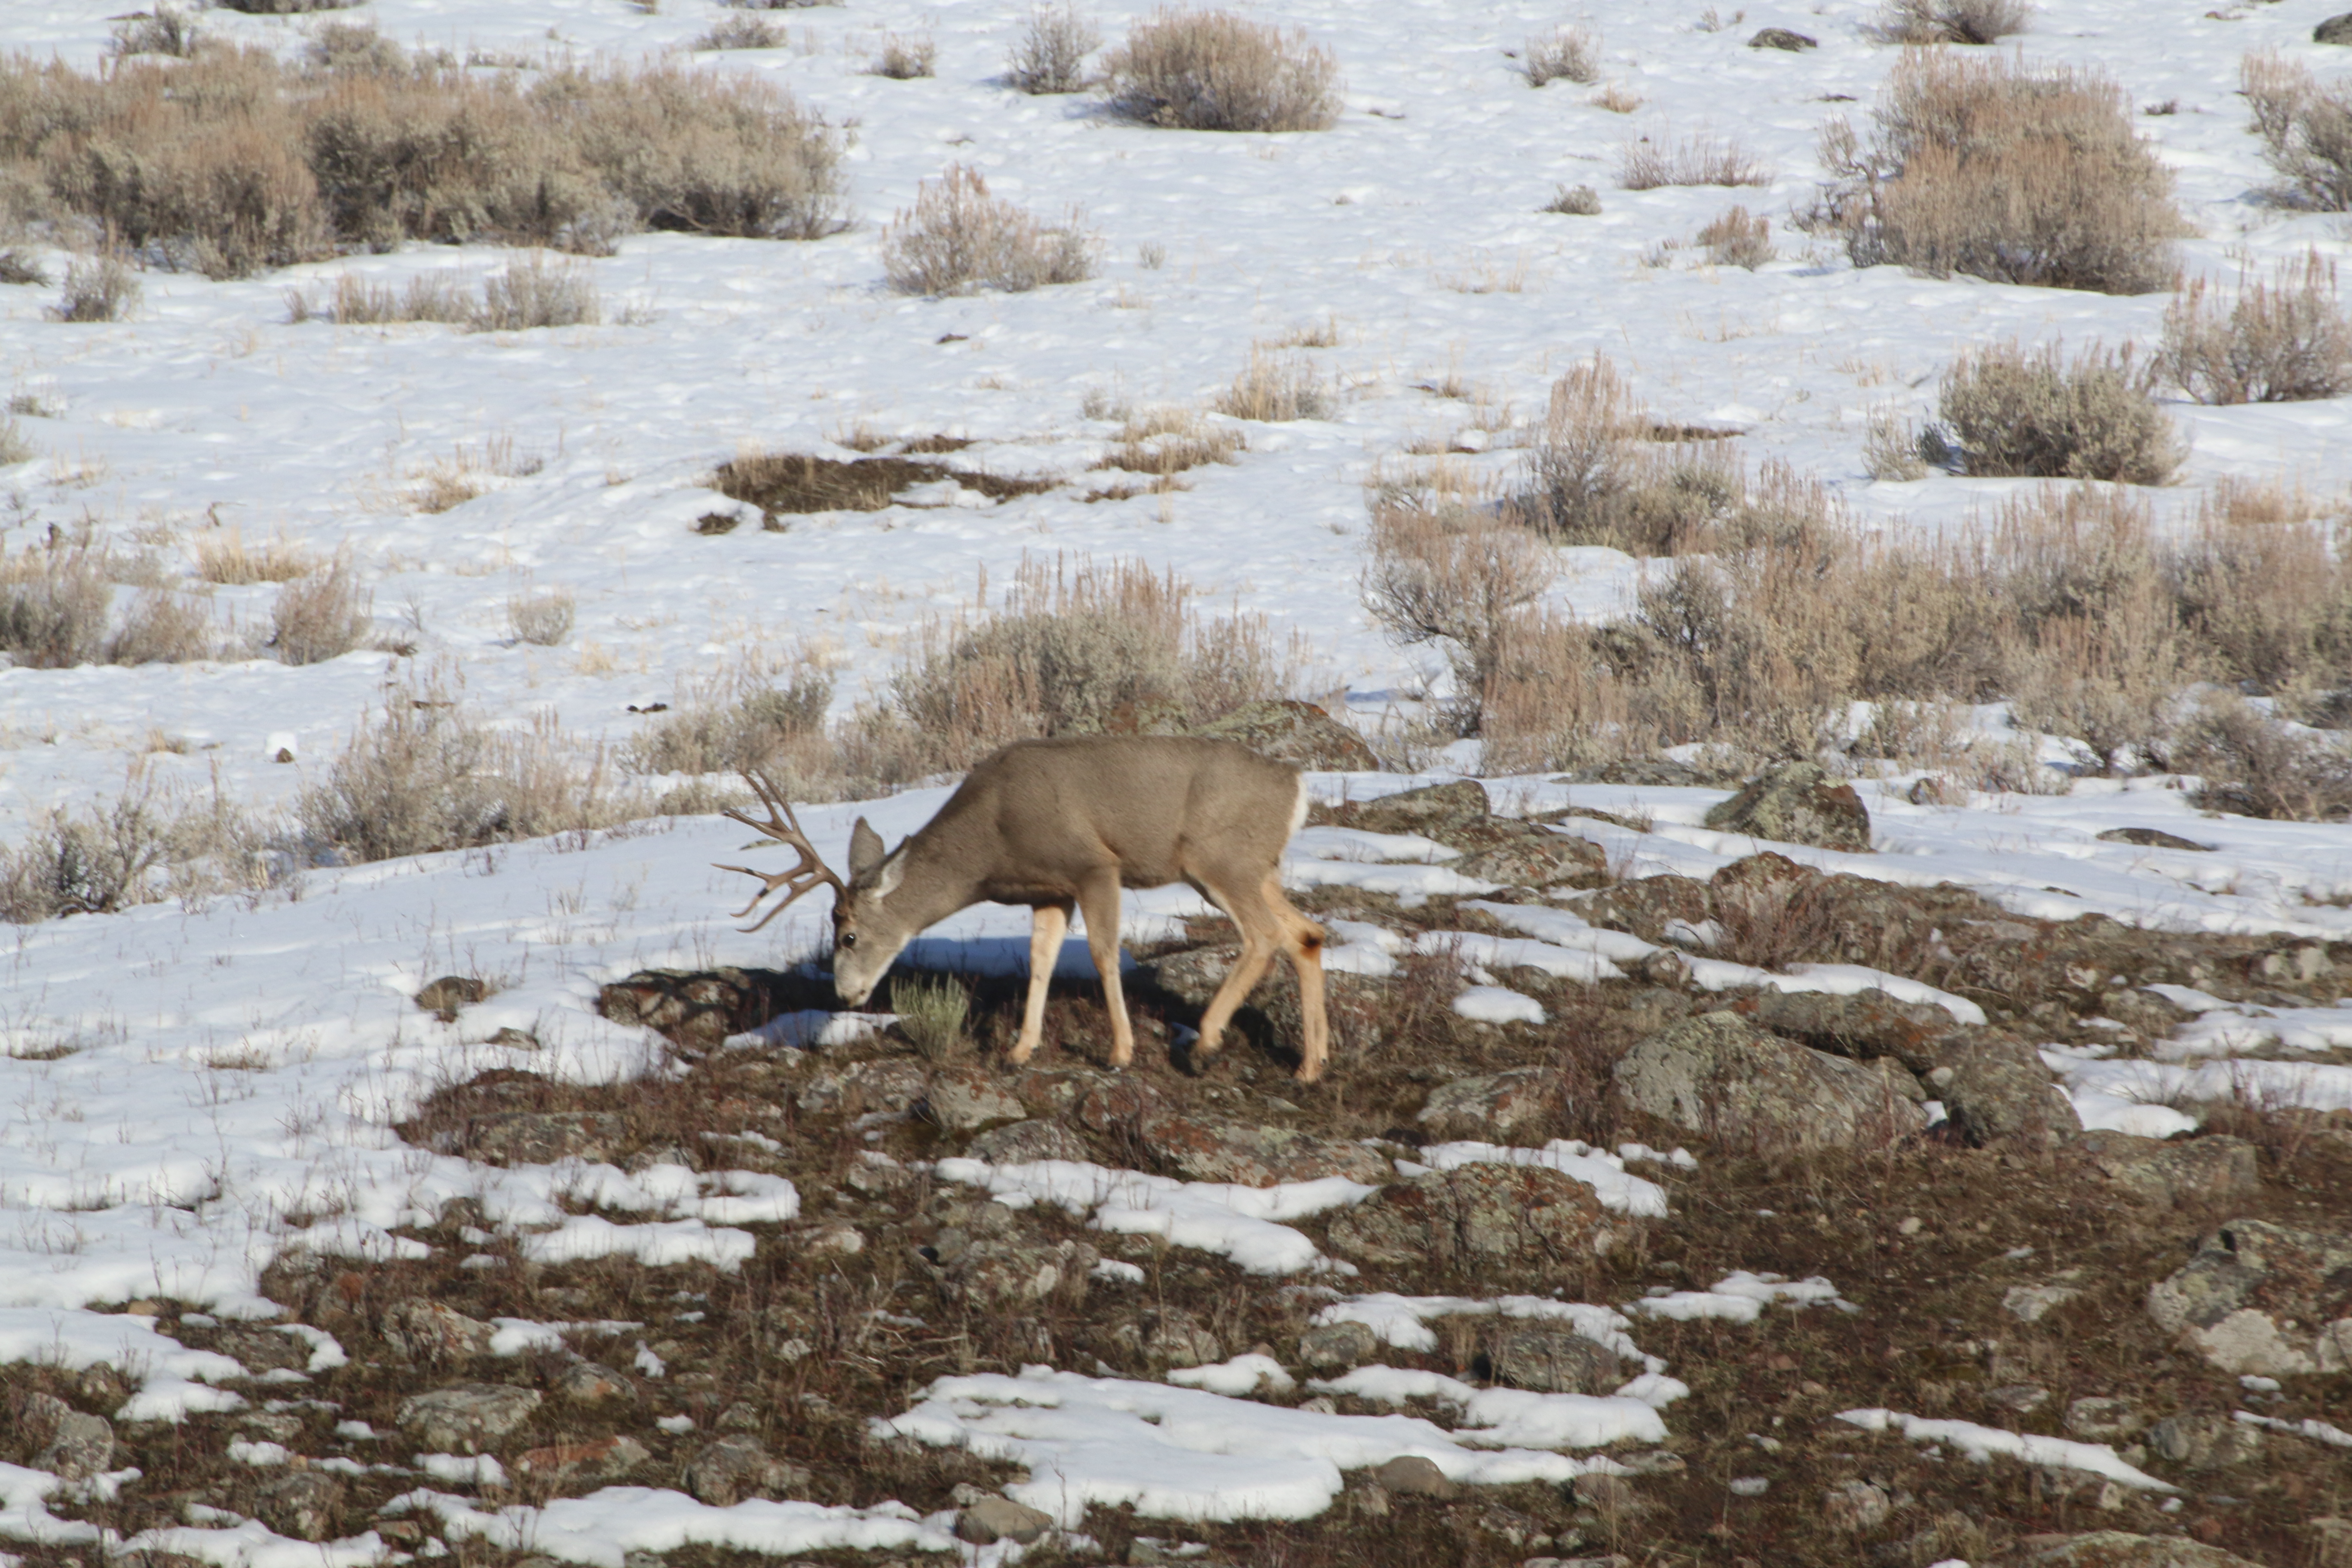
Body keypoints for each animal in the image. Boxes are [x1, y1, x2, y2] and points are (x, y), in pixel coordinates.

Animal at [714, 735, 1334, 1080]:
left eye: (847, 935)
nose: (845, 994)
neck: (992, 840)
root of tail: (1296, 784)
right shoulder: (1047, 890)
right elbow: (1042, 959)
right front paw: (1019, 1050)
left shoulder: (1094, 865)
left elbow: (1105, 953)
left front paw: (1120, 1052)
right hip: (1256, 869)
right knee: (1307, 934)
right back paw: (1310, 1067)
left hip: (1217, 858)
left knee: (1264, 937)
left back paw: (1206, 1043)